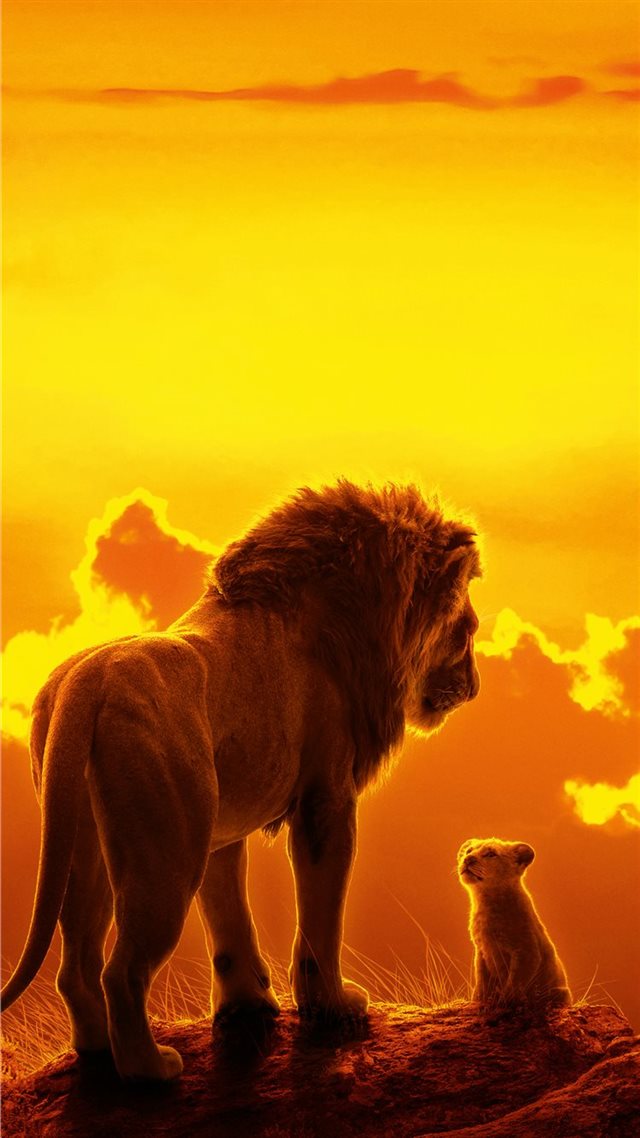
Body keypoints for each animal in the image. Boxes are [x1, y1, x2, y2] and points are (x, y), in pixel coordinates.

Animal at [2, 481, 481, 1081]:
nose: (475, 687)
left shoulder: (219, 828)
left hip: (82, 842)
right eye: (468, 631)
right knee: (122, 971)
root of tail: (85, 685)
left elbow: (229, 917)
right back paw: (150, 1069)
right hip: (165, 855)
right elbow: (321, 916)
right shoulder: (326, 799)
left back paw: (95, 1052)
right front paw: (334, 1006)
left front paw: (246, 1006)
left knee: (77, 965)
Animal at [457, 838, 571, 1009]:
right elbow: (481, 980)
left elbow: (515, 981)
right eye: (469, 850)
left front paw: (505, 1002)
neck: (485, 902)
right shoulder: (481, 951)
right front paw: (479, 1000)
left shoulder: (526, 951)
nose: (468, 859)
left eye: (491, 854)